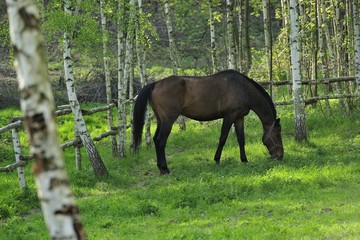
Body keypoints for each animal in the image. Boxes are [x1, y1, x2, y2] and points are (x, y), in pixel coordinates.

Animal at [132, 69, 284, 174]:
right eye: (277, 135)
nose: (280, 156)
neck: (242, 88)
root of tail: (155, 84)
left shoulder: (239, 118)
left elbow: (241, 139)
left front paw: (244, 160)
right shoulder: (229, 116)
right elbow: (223, 138)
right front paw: (216, 159)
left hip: (160, 120)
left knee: (156, 140)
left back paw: (161, 168)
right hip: (168, 120)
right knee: (161, 141)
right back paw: (165, 169)